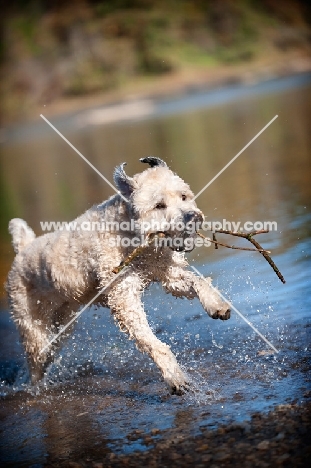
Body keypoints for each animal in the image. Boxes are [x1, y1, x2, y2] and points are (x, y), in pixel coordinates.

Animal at [6, 158, 230, 394]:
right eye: (159, 205)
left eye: (184, 196)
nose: (193, 217)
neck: (130, 233)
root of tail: (23, 249)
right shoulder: (124, 297)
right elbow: (153, 344)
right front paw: (175, 377)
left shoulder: (169, 276)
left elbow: (197, 282)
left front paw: (216, 305)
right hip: (31, 324)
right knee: (36, 361)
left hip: (64, 321)